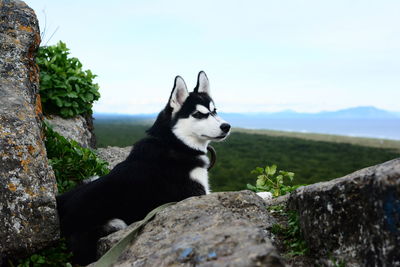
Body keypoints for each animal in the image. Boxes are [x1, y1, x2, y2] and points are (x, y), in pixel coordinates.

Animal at [56, 71, 231, 266]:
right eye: (199, 114)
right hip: (114, 222)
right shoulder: (195, 193)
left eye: (214, 111)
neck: (175, 143)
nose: (227, 126)